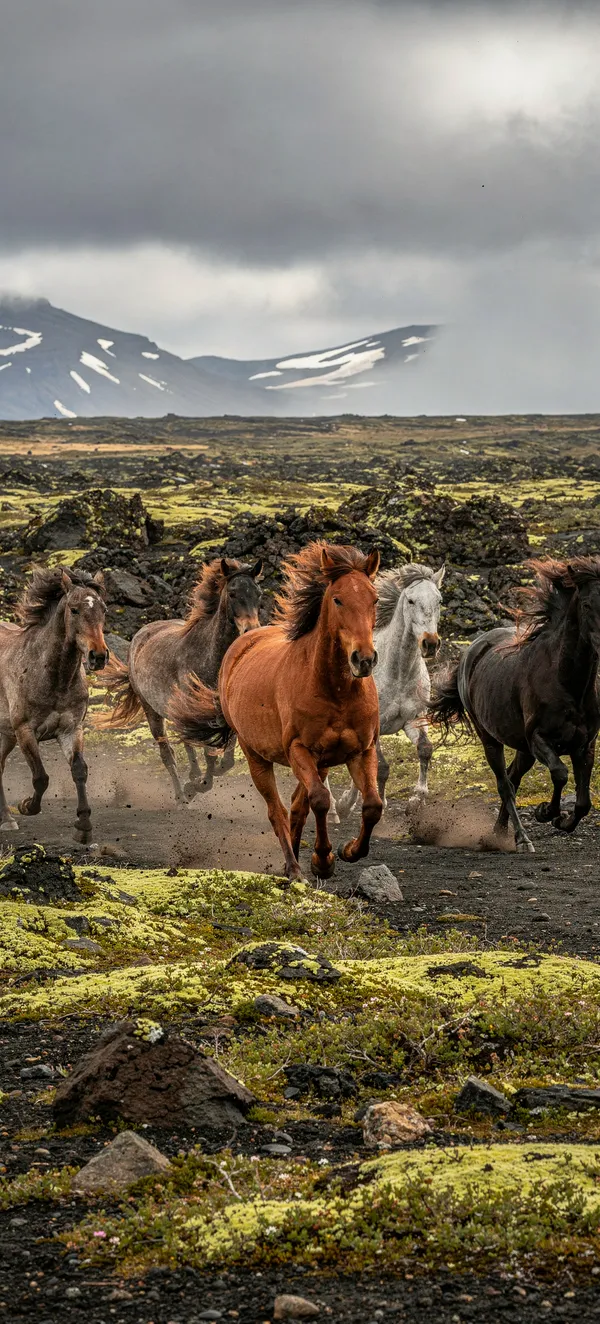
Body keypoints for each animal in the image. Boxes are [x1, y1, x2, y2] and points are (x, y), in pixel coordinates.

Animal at [0, 567, 108, 842]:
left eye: (104, 609)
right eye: (74, 609)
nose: (98, 656)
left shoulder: (71, 729)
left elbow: (79, 770)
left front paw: (83, 826)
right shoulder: (25, 731)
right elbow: (41, 777)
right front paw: (27, 806)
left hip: (6, 735)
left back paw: (6, 819)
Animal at [96, 558, 262, 802]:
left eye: (258, 593)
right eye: (232, 593)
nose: (251, 629)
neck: (209, 656)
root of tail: (141, 633)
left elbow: (225, 759)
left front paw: (201, 779)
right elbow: (207, 753)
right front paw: (195, 786)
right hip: (153, 711)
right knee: (168, 754)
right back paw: (182, 797)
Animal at [169, 542, 383, 881]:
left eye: (374, 599)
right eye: (337, 599)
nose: (363, 659)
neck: (335, 692)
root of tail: (242, 642)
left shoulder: (362, 750)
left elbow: (372, 805)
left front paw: (348, 851)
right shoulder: (299, 749)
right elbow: (319, 800)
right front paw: (323, 861)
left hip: (321, 762)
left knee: (297, 805)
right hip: (256, 756)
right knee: (278, 810)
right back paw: (293, 868)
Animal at [327, 562, 444, 819]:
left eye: (439, 600)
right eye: (411, 600)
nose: (430, 644)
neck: (398, 673)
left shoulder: (414, 719)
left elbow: (425, 749)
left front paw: (417, 799)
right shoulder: (375, 725)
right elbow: (381, 767)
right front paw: (378, 804)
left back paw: (346, 803)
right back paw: (332, 807)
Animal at [428, 557, 600, 854]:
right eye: (588, 605)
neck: (568, 684)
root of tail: (471, 652)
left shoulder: (585, 745)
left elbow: (583, 803)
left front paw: (561, 821)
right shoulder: (539, 739)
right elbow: (560, 773)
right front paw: (546, 812)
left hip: (523, 748)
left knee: (513, 777)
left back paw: (499, 832)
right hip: (491, 739)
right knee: (504, 784)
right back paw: (521, 838)